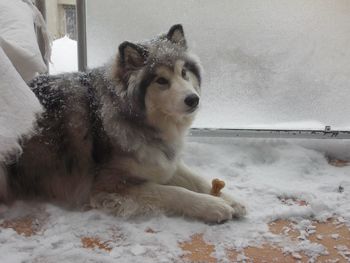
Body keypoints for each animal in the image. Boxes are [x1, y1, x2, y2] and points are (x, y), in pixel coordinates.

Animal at [0, 24, 246, 223]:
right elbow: (174, 192)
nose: (193, 99)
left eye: (184, 72)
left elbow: (195, 178)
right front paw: (212, 205)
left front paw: (230, 200)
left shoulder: (158, 159)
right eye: (161, 80)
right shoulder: (108, 184)